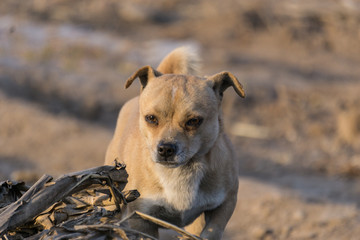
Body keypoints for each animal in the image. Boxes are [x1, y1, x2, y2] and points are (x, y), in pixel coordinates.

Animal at [104, 46, 245, 239]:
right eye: (151, 118)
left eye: (193, 121)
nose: (165, 149)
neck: (181, 172)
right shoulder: (140, 218)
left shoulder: (225, 205)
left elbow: (212, 231)